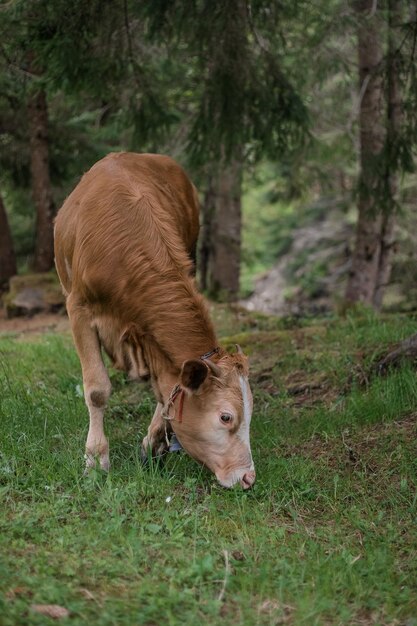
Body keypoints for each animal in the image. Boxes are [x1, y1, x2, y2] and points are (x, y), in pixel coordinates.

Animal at [53, 151, 255, 488]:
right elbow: (96, 389)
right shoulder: (78, 307)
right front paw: (95, 460)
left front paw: (154, 442)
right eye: (225, 416)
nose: (248, 477)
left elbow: (166, 390)